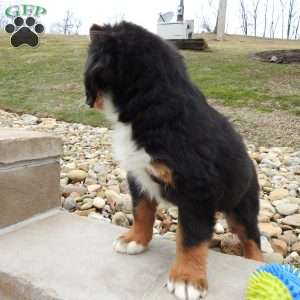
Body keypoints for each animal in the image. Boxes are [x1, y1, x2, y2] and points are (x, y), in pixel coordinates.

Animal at [84, 21, 260, 300]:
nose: (87, 100)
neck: (150, 106)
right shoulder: (138, 176)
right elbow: (142, 210)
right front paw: (134, 240)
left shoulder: (197, 189)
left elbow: (191, 237)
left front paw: (186, 279)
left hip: (242, 205)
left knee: (252, 239)